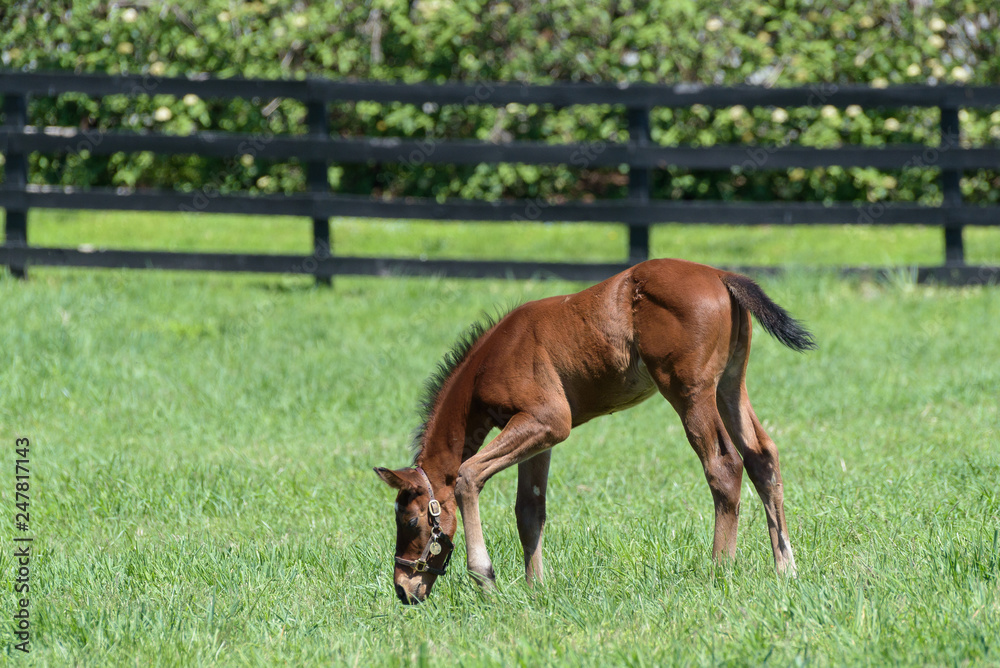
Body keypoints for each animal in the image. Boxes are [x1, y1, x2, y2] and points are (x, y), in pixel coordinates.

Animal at [375, 258, 815, 604]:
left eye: (410, 521)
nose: (402, 588)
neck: (492, 359)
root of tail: (721, 275)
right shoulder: (540, 438)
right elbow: (529, 509)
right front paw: (537, 589)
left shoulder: (548, 420)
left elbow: (467, 475)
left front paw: (485, 578)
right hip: (730, 383)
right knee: (762, 457)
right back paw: (786, 567)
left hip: (689, 391)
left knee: (723, 466)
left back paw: (719, 569)